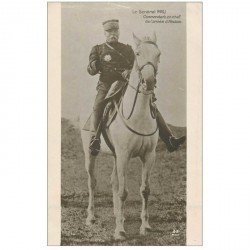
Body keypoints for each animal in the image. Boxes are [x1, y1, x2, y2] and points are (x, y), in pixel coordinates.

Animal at [81, 32, 161, 239]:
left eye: (158, 54)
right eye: (138, 53)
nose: (148, 81)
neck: (138, 115)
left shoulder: (149, 156)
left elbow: (144, 190)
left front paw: (145, 226)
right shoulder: (124, 155)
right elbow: (124, 192)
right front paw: (119, 231)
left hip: (116, 156)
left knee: (113, 182)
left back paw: (119, 214)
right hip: (90, 154)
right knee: (92, 183)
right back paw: (91, 217)